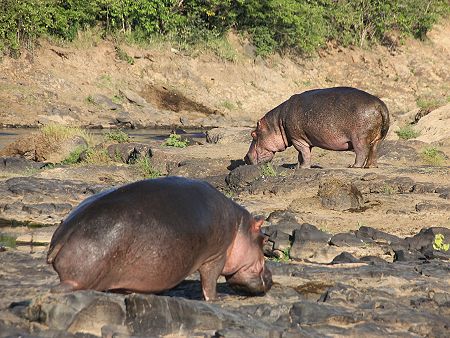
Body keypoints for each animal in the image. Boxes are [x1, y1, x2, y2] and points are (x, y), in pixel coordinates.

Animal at [46, 176, 270, 300]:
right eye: (264, 239)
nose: (270, 277)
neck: (239, 227)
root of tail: (63, 235)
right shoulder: (216, 256)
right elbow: (209, 282)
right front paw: (219, 298)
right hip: (78, 277)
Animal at [244, 86, 388, 168]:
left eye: (253, 134)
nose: (246, 157)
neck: (277, 123)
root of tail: (380, 105)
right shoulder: (303, 139)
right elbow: (301, 155)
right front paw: (297, 166)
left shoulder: (297, 139)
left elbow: (304, 153)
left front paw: (303, 167)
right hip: (379, 139)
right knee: (374, 150)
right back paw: (371, 167)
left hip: (359, 138)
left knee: (362, 151)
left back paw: (353, 166)